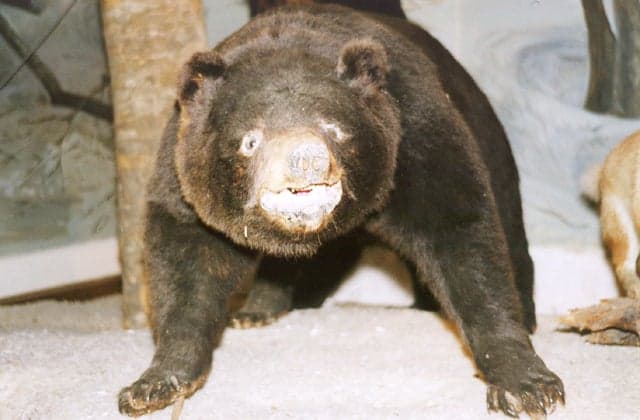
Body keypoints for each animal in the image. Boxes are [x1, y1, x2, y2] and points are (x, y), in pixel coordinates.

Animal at [118, 4, 564, 418]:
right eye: (250, 140)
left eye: (334, 129)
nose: (306, 159)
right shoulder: (183, 174)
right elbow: (188, 259)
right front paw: (153, 385)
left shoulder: (415, 137)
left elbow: (460, 232)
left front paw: (525, 387)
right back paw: (258, 309)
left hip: (489, 137)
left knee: (509, 219)